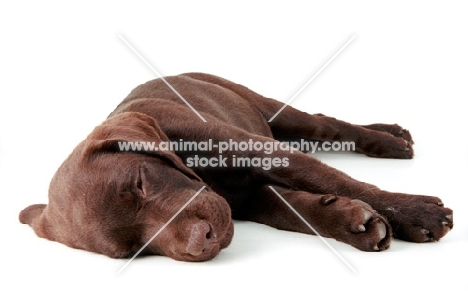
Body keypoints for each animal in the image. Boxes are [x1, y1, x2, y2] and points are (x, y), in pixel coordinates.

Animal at [19, 73, 454, 262]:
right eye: (132, 250)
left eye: (140, 182)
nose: (202, 241)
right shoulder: (247, 200)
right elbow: (292, 209)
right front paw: (350, 222)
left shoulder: (255, 147)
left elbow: (323, 175)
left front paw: (417, 213)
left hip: (264, 106)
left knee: (323, 123)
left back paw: (392, 139)